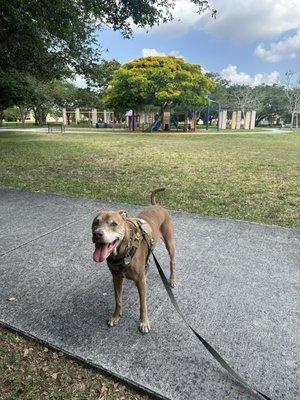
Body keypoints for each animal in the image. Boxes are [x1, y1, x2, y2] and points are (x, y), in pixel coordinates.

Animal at [91, 189, 176, 332]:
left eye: (114, 224)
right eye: (95, 222)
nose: (97, 234)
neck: (122, 253)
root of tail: (157, 205)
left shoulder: (140, 282)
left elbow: (143, 304)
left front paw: (144, 322)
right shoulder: (116, 277)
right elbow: (118, 300)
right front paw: (116, 316)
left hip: (170, 242)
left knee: (172, 262)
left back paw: (173, 279)